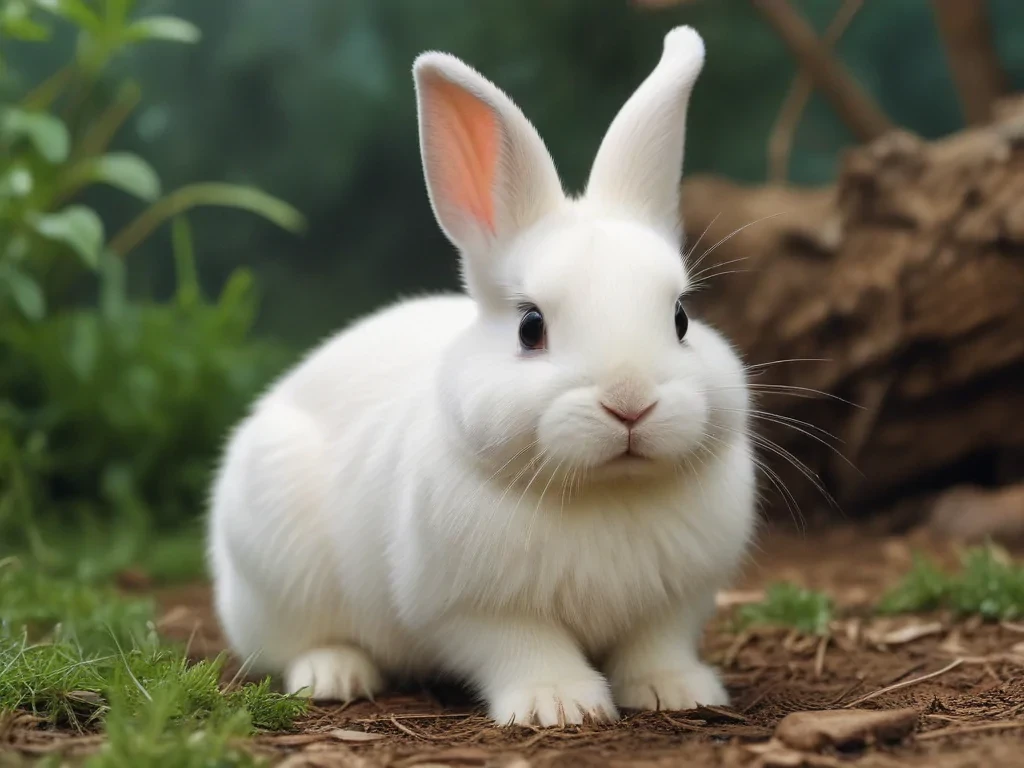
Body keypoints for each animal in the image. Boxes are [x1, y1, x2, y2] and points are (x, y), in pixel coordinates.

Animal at [208, 25, 756, 727]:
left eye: (682, 317)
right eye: (531, 327)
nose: (630, 402)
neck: (605, 493)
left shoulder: (676, 601)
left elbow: (655, 645)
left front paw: (678, 692)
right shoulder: (474, 610)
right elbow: (526, 648)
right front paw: (559, 704)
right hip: (278, 573)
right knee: (299, 644)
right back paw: (335, 675)